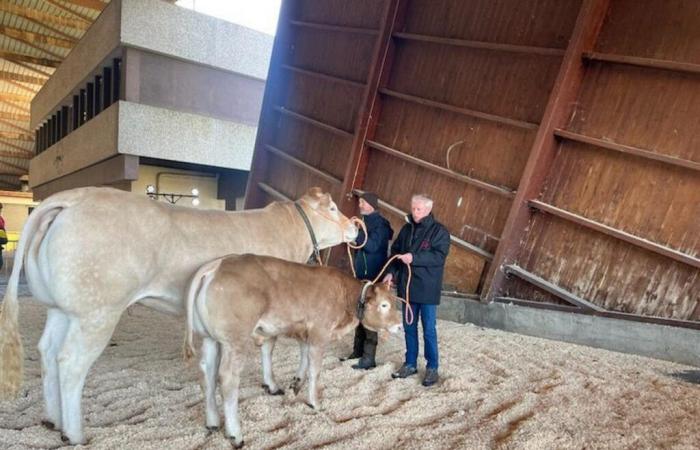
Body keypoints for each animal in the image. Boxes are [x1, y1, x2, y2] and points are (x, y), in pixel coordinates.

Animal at [0, 185, 356, 442]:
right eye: (334, 208)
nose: (354, 227)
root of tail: (73, 196)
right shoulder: (273, 313)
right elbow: (272, 346)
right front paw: (276, 384)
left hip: (61, 309)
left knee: (47, 351)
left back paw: (52, 420)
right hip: (96, 312)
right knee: (71, 362)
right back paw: (75, 434)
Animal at [185, 253, 404, 446]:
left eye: (395, 303)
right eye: (384, 305)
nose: (400, 325)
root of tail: (217, 265)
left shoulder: (305, 333)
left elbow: (304, 359)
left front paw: (296, 384)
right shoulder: (319, 333)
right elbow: (315, 370)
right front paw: (314, 402)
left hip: (210, 338)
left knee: (207, 373)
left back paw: (212, 422)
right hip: (235, 340)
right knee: (228, 378)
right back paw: (235, 434)